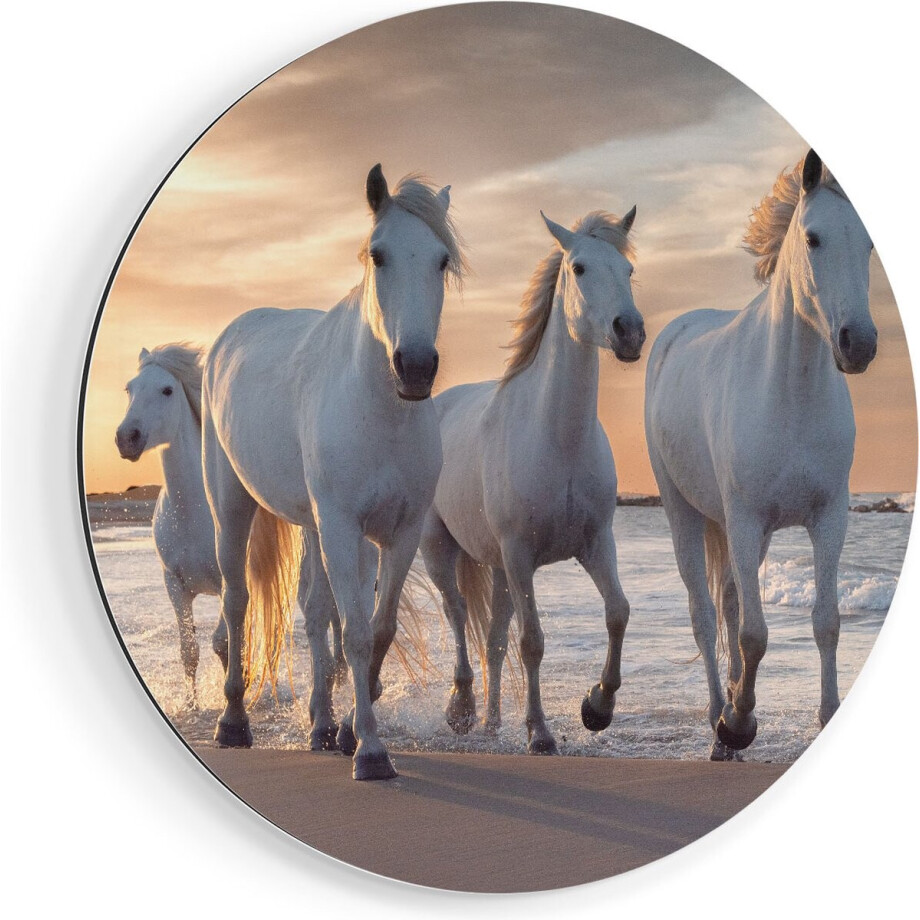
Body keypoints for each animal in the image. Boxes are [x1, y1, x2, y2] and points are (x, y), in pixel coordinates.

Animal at [201, 165, 464, 780]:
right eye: (379, 255)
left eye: (442, 260)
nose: (416, 367)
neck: (380, 410)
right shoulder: (343, 527)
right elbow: (357, 634)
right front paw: (370, 752)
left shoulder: (398, 532)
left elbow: (376, 628)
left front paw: (348, 731)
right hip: (233, 508)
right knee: (237, 602)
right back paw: (233, 722)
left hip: (313, 526)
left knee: (316, 614)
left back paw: (321, 726)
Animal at [420, 206, 644, 754]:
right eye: (579, 268)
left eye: (628, 270)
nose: (629, 332)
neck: (557, 439)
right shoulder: (521, 554)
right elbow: (533, 642)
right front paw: (540, 733)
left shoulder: (595, 543)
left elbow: (618, 612)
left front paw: (597, 707)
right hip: (441, 549)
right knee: (458, 614)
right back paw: (462, 709)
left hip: (499, 569)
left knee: (493, 640)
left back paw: (492, 722)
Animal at [645, 149, 877, 760]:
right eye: (813, 238)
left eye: (869, 243)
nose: (860, 344)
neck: (790, 394)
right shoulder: (746, 519)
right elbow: (753, 633)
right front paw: (739, 722)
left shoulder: (828, 518)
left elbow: (825, 621)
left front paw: (825, 715)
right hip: (685, 513)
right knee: (706, 615)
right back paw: (718, 719)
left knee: (727, 602)